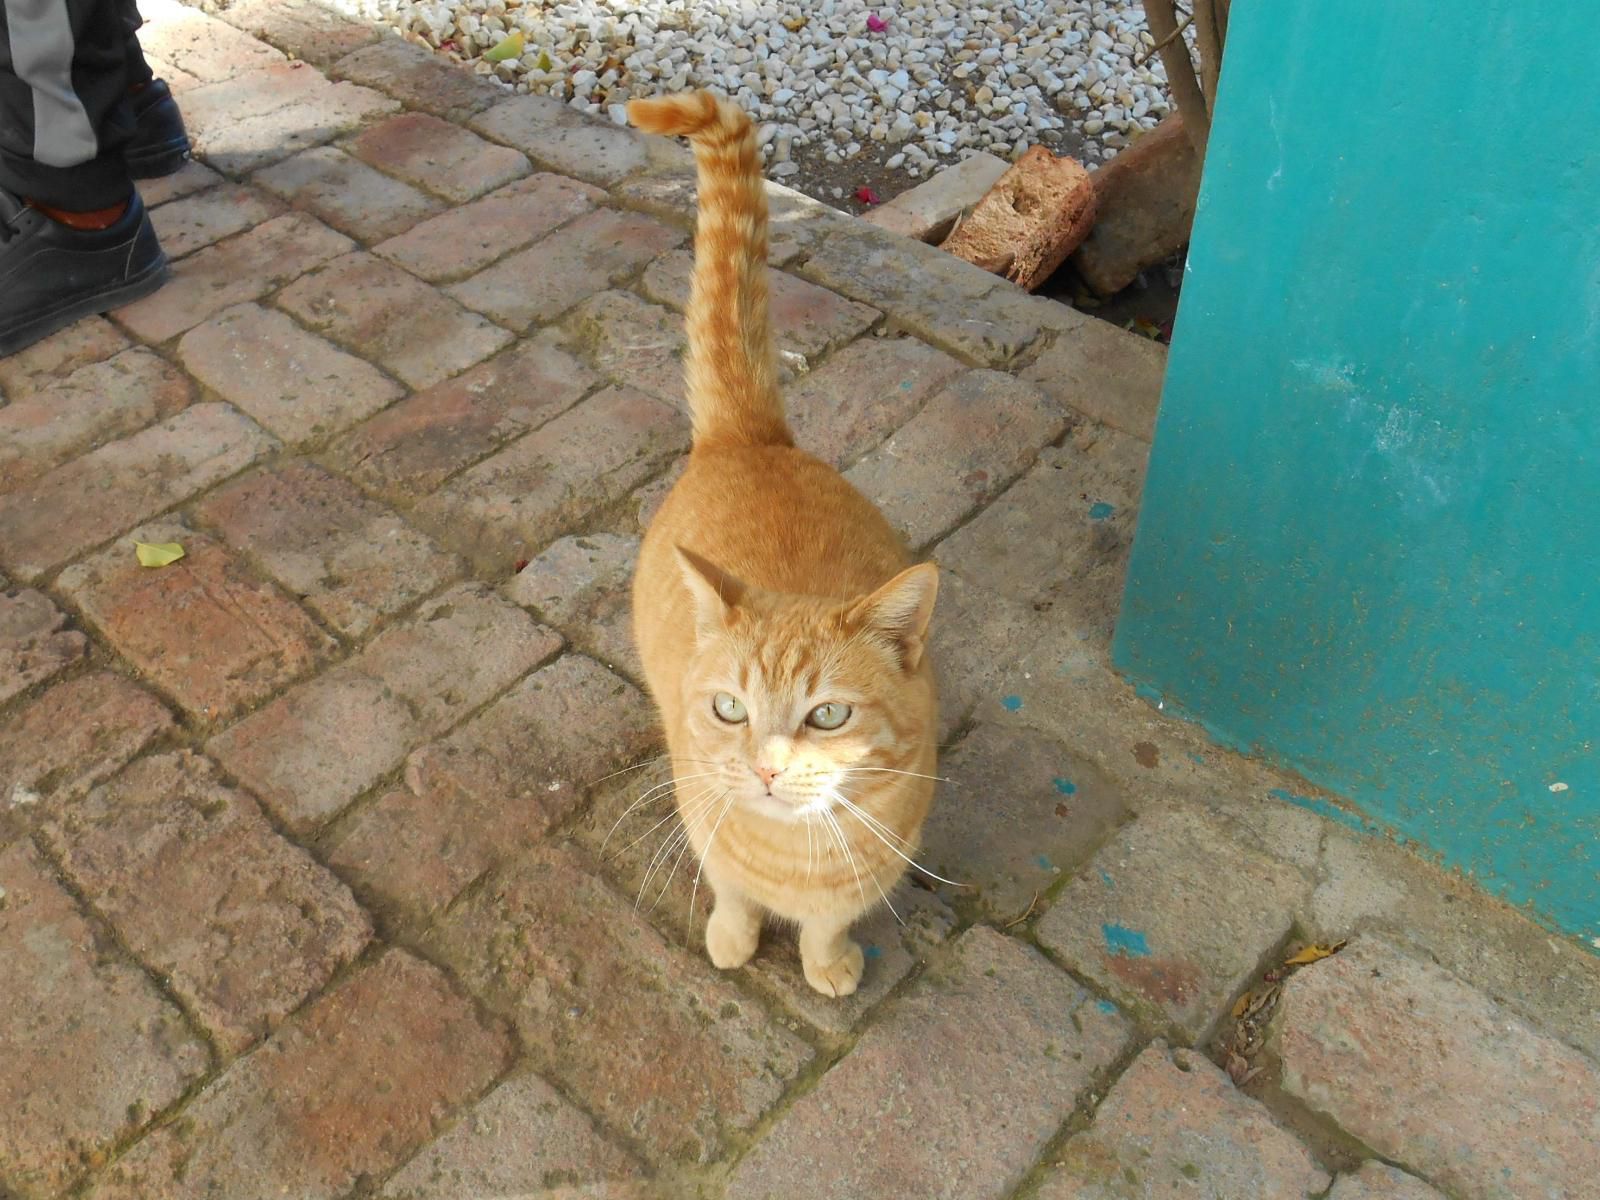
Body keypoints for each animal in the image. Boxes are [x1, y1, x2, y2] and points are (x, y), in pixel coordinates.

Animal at [624, 91, 940, 998]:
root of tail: (751, 436)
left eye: (827, 715)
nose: (765, 767)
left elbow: (830, 923)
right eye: (729, 708)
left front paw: (826, 962)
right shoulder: (703, 819)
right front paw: (734, 937)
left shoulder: (875, 865)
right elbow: (730, 892)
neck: (794, 855)